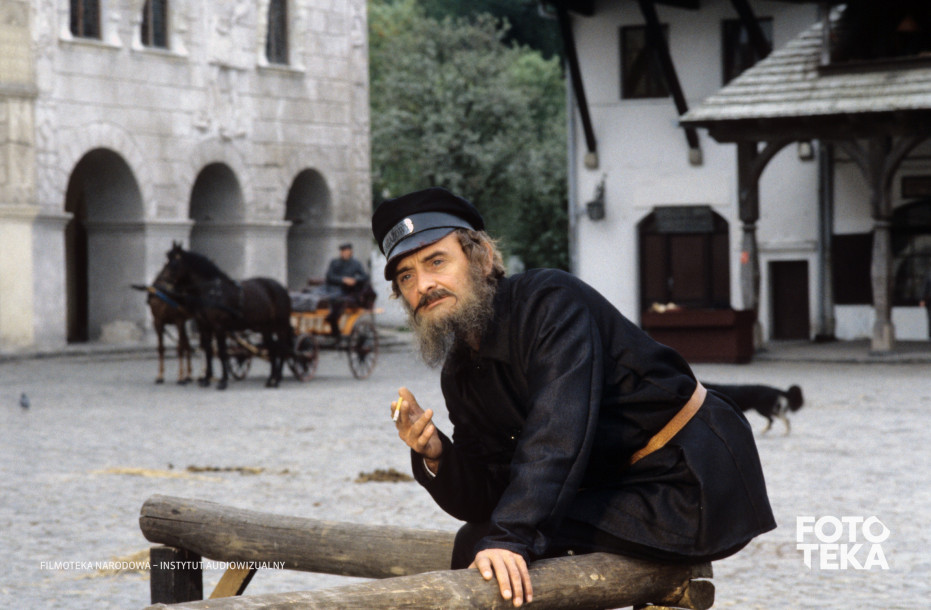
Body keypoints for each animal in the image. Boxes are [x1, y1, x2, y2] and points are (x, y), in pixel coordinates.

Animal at [159, 243, 293, 389]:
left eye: (174, 263)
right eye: (166, 262)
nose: (162, 286)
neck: (211, 292)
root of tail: (281, 287)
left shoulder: (219, 327)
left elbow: (223, 352)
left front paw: (223, 381)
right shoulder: (205, 326)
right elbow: (208, 351)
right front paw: (206, 379)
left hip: (280, 326)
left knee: (282, 349)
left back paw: (277, 379)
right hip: (265, 328)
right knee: (272, 349)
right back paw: (271, 379)